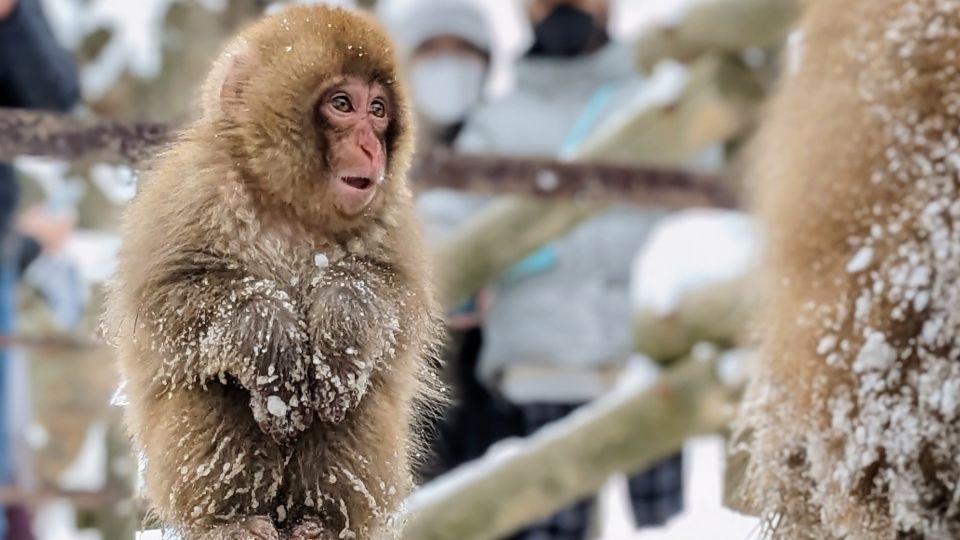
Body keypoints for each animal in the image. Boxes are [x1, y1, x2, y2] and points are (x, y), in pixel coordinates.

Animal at [107, 5, 444, 540]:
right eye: (343, 104)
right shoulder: (192, 189)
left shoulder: (392, 217)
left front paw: (341, 316)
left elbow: (393, 296)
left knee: (357, 403)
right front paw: (268, 332)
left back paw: (321, 522)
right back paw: (233, 520)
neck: (288, 206)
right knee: (211, 388)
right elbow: (168, 296)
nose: (372, 147)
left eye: (378, 110)